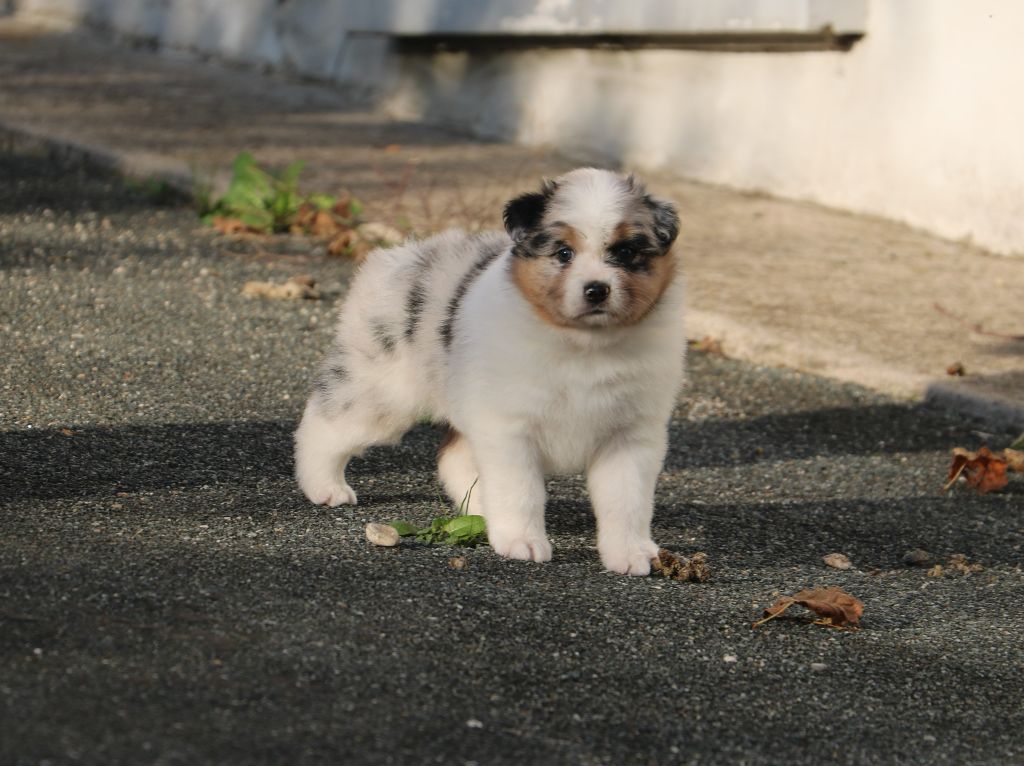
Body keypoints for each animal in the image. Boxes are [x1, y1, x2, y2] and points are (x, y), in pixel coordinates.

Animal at [292, 167, 684, 573]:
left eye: (625, 252)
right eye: (563, 252)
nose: (597, 290)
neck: (584, 346)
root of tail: (397, 257)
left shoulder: (630, 435)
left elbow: (627, 501)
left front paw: (630, 553)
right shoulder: (511, 429)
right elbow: (521, 491)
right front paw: (522, 541)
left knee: (454, 459)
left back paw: (481, 511)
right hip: (380, 393)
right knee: (324, 426)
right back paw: (324, 486)